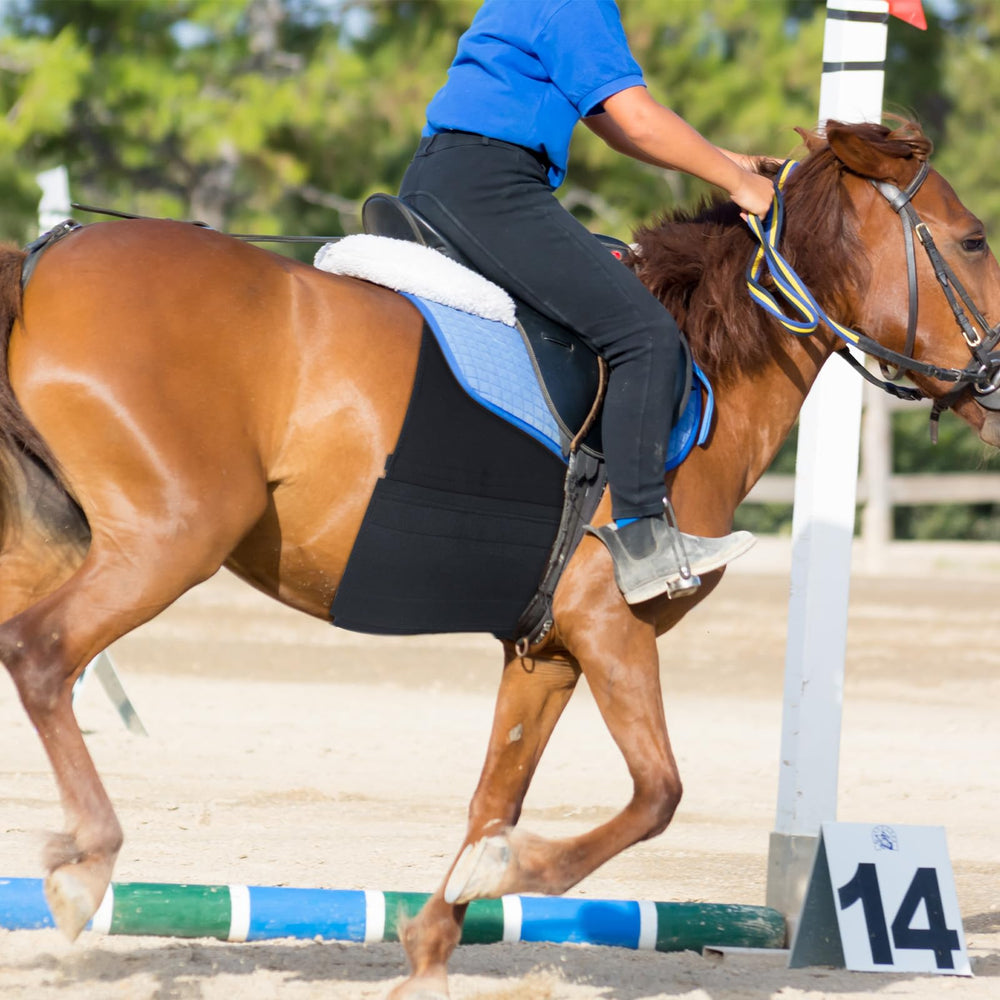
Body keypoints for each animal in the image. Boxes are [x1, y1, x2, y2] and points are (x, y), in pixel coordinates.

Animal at [1, 119, 999, 999]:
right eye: (975, 240)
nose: (997, 382)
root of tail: (46, 261)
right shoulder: (611, 623)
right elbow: (656, 795)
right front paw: (501, 873)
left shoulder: (548, 651)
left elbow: (496, 797)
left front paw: (434, 946)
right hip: (173, 539)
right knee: (41, 653)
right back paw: (86, 863)